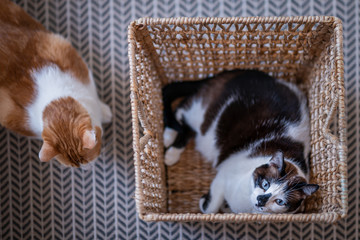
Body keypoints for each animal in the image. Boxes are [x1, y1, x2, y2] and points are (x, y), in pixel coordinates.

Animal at [162, 69, 318, 214]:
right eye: (265, 184)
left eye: (280, 201)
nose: (261, 200)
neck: (246, 205)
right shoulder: (222, 176)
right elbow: (211, 208)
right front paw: (203, 201)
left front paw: (222, 207)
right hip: (203, 118)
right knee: (180, 111)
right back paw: (168, 144)